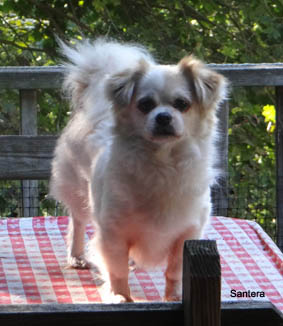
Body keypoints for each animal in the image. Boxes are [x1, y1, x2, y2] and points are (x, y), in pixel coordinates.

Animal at [50, 38, 229, 304]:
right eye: (145, 105)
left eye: (182, 104)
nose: (163, 116)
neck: (162, 163)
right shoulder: (113, 232)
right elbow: (116, 268)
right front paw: (120, 296)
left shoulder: (186, 233)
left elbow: (175, 269)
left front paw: (173, 296)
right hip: (78, 191)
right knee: (78, 222)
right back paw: (77, 256)